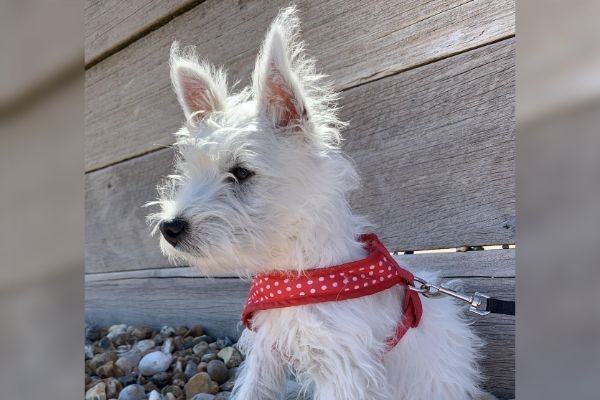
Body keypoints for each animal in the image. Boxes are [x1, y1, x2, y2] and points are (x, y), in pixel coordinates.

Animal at [150, 6, 488, 400]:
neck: (296, 270)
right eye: (189, 173)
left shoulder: (343, 369)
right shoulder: (266, 352)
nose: (170, 228)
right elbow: (251, 390)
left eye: (241, 173)